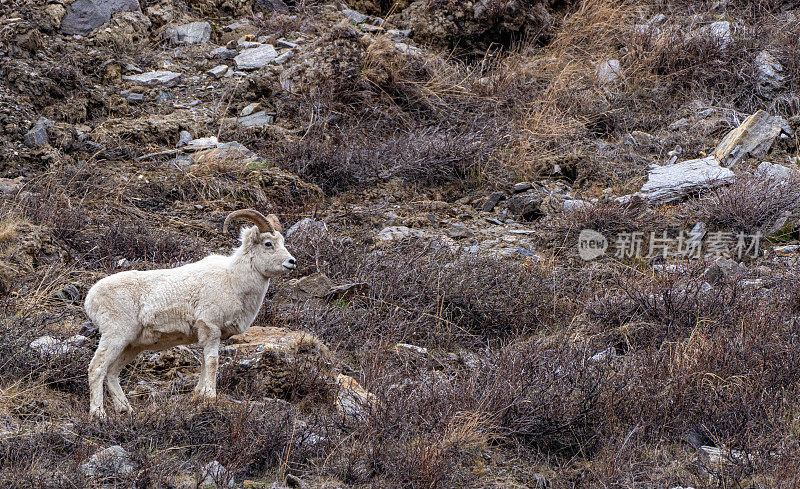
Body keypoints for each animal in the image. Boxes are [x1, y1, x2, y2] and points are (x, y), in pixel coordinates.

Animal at [85, 208, 296, 418]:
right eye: (268, 243)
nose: (291, 262)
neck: (232, 280)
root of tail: (90, 298)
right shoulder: (210, 328)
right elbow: (212, 362)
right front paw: (210, 396)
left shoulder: (211, 335)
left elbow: (204, 363)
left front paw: (199, 395)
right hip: (116, 336)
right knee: (97, 368)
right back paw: (99, 414)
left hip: (131, 345)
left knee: (112, 372)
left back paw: (126, 410)